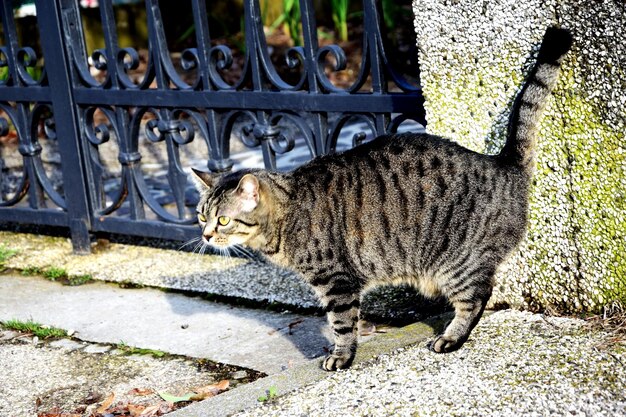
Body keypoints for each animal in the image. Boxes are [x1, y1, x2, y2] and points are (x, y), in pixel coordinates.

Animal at [191, 26, 572, 370]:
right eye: (201, 216)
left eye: (223, 219)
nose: (206, 235)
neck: (286, 218)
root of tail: (502, 163)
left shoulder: (335, 281)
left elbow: (342, 323)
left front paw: (341, 356)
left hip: (455, 262)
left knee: (477, 298)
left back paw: (452, 337)